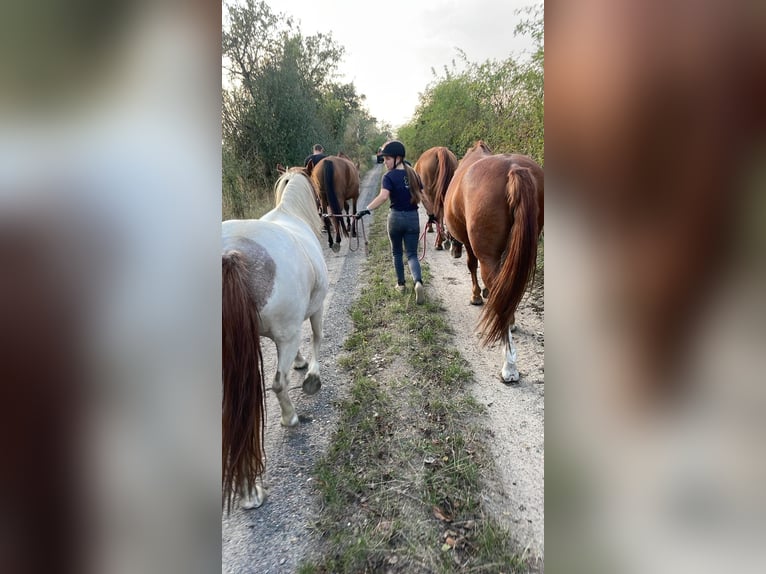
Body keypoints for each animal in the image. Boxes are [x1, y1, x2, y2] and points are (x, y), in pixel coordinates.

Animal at [222, 168, 328, 511]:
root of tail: (232, 254)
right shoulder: (314, 310)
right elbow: (317, 337)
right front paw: (312, 376)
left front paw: (301, 363)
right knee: (279, 384)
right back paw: (290, 418)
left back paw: (247, 490)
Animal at [444, 140, 544, 383]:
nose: (452, 250)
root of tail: (513, 169)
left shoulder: (471, 245)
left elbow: (472, 265)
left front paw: (476, 296)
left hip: (487, 255)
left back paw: (509, 366)